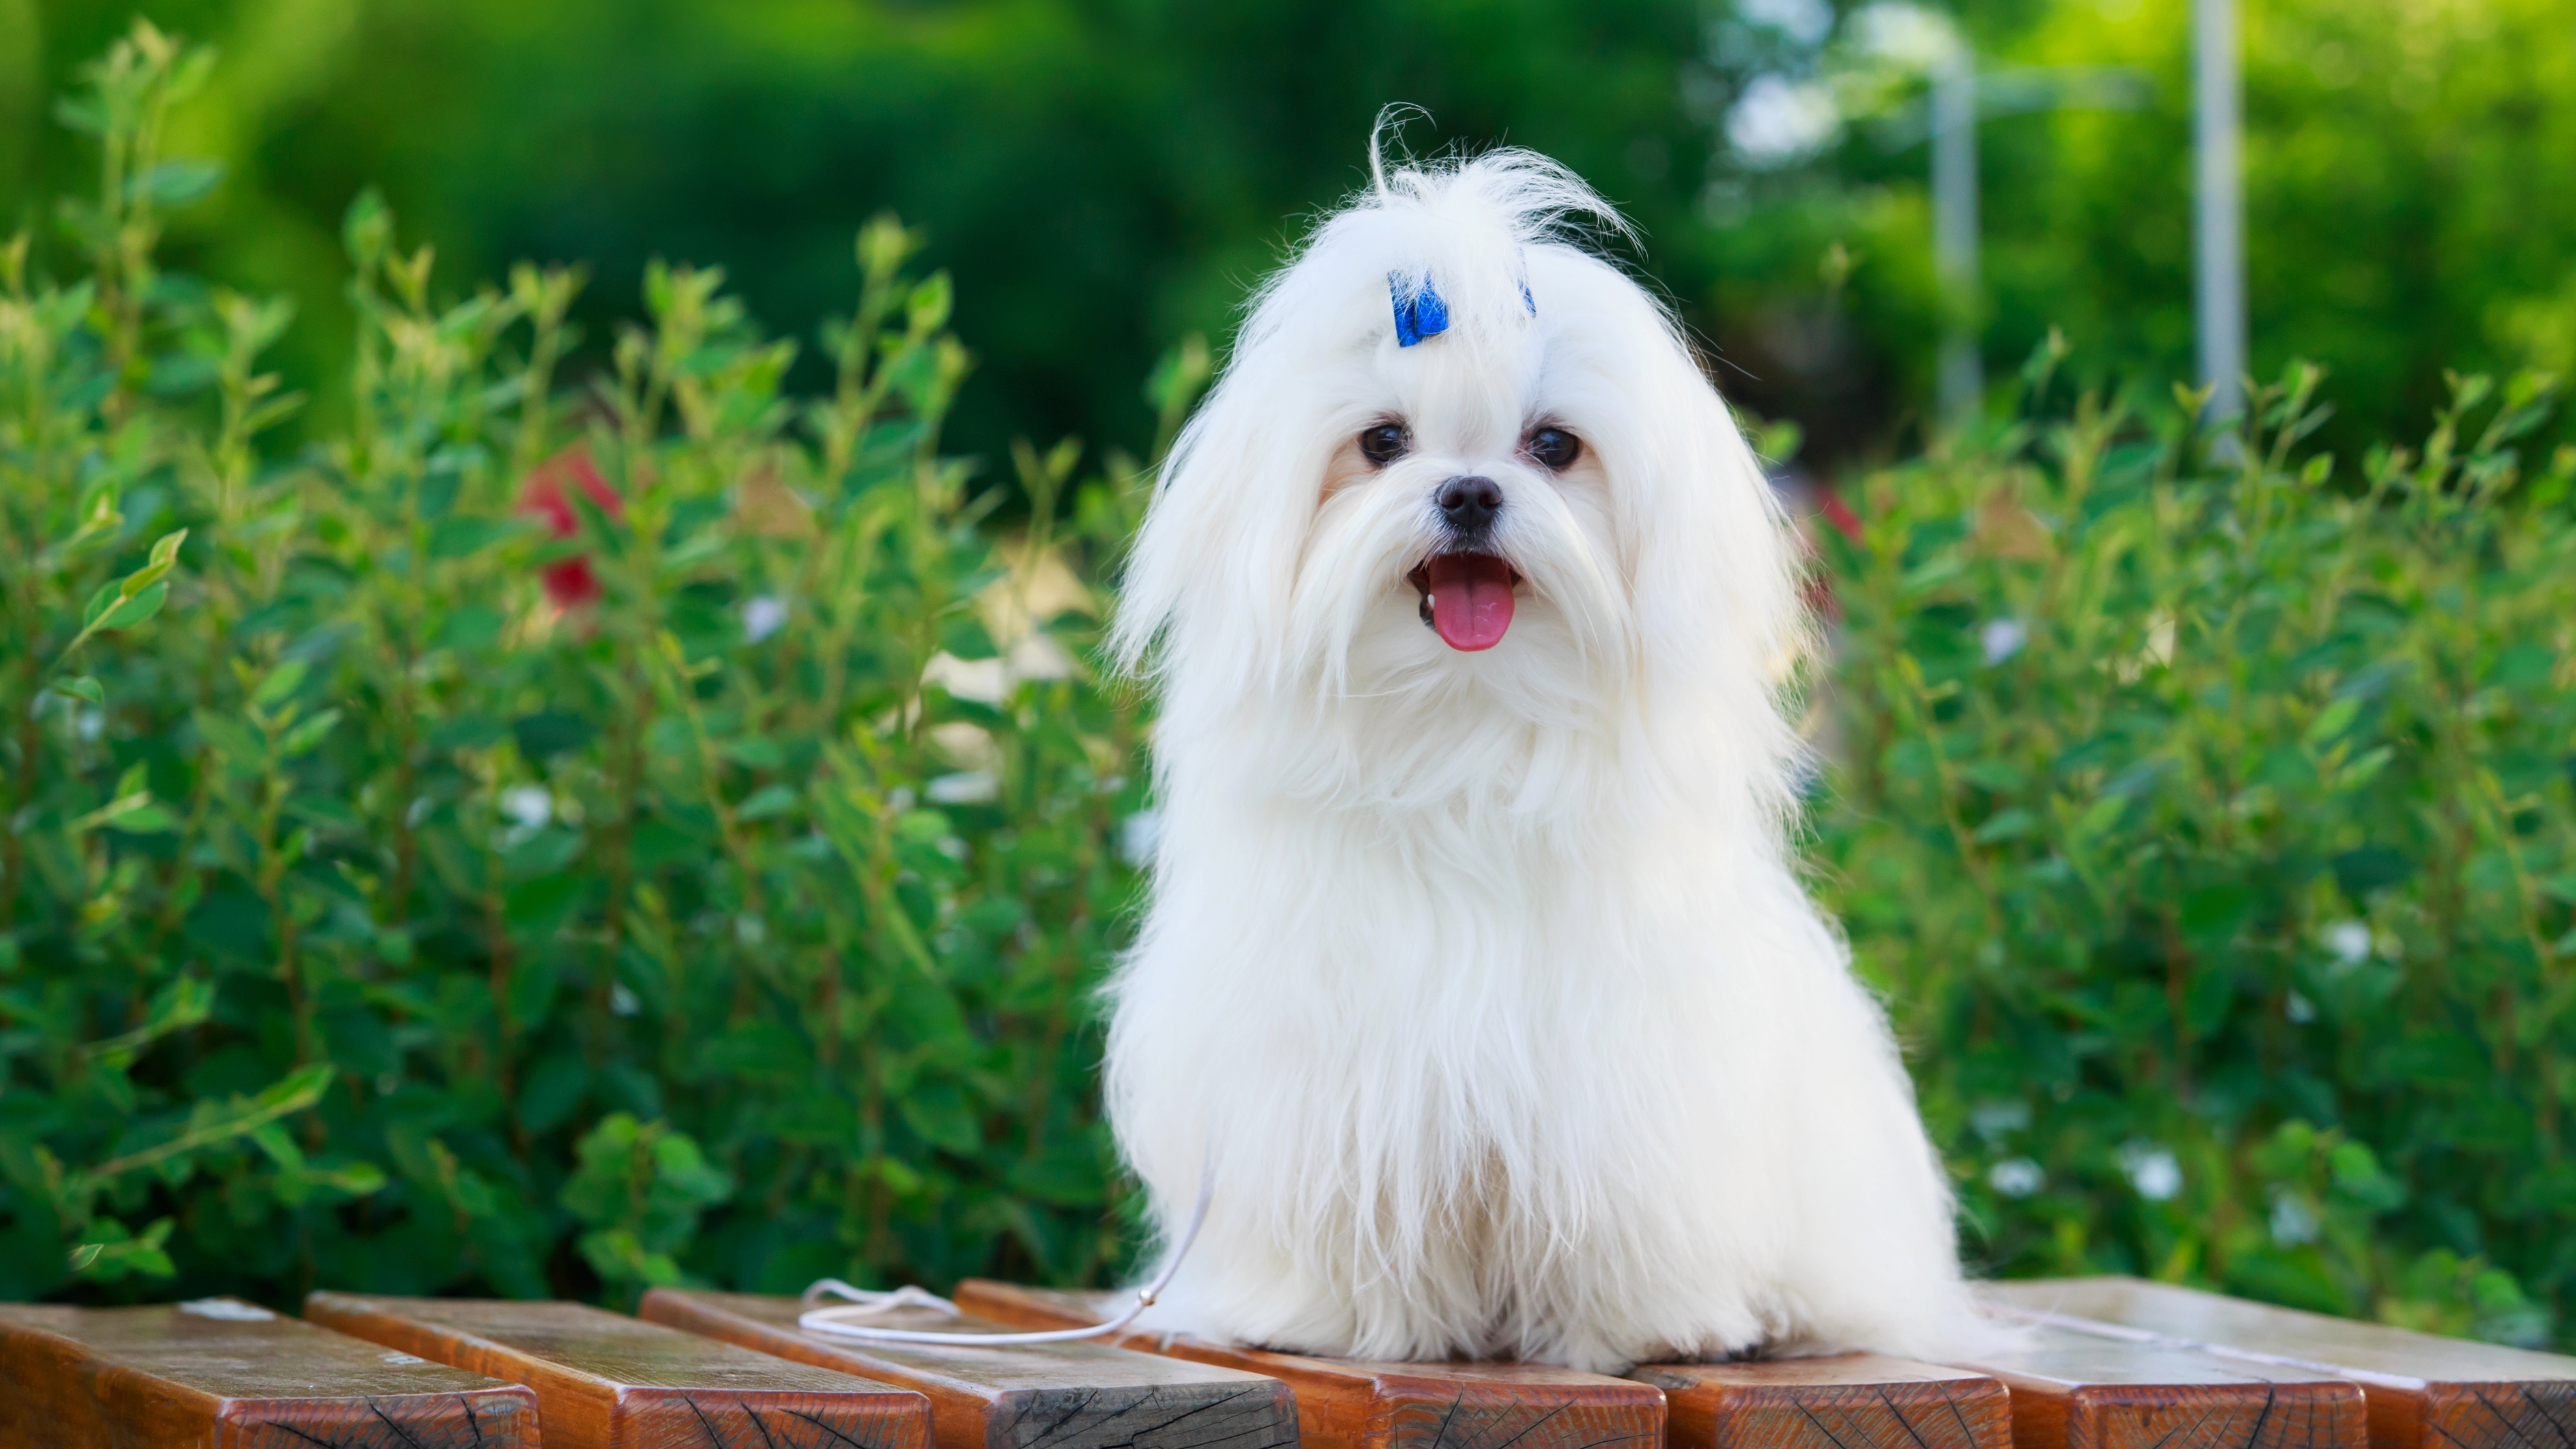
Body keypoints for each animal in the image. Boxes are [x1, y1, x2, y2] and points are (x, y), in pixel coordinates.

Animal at [1103, 135, 1968, 1361]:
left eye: (1553, 447)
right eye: (1381, 443)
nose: (1468, 491)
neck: (1465, 731)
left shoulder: (1623, 1081)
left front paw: (1641, 1325)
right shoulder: (1320, 1072)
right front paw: (1329, 1315)